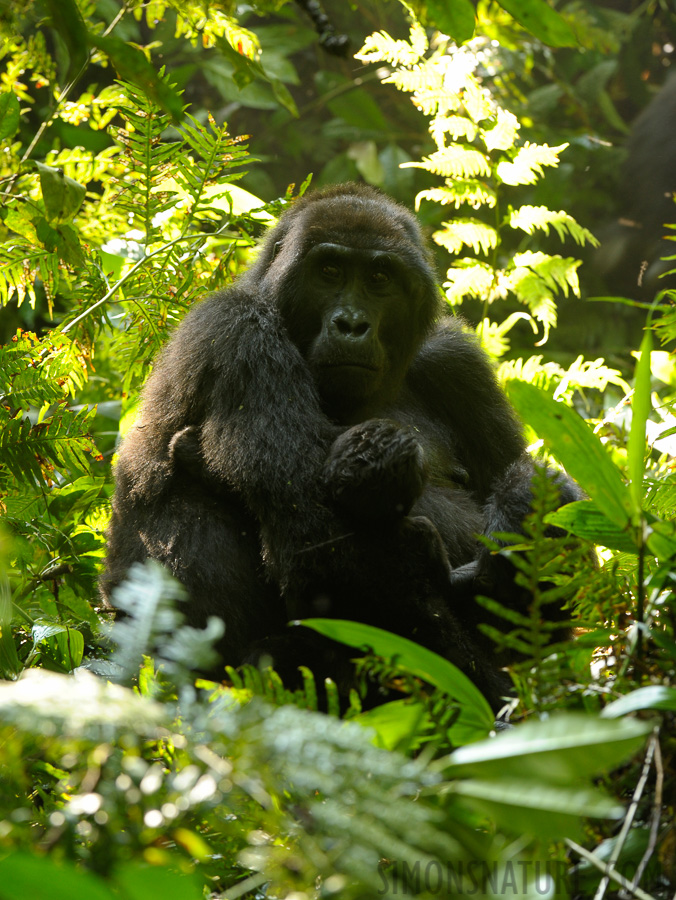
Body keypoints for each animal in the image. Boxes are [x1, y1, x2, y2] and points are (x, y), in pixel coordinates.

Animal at [101, 183, 580, 712]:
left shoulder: (456, 362)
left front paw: (524, 507)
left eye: (380, 279)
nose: (351, 324)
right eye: (329, 272)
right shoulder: (238, 330)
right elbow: (331, 556)